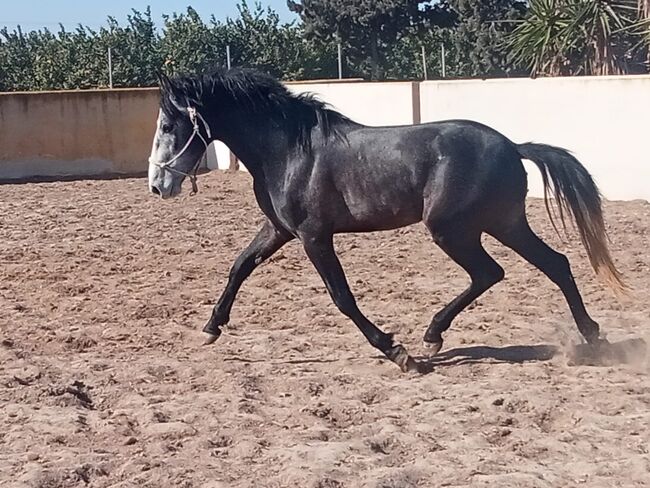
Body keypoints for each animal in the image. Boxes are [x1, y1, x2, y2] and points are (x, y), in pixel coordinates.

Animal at [146, 68, 624, 372]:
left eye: (169, 125)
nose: (157, 186)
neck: (288, 151)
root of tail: (512, 145)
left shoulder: (313, 236)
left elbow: (342, 298)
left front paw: (398, 353)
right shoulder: (279, 230)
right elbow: (239, 267)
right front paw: (210, 329)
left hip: (454, 229)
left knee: (492, 272)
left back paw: (432, 337)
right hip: (503, 223)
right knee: (552, 264)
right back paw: (592, 336)